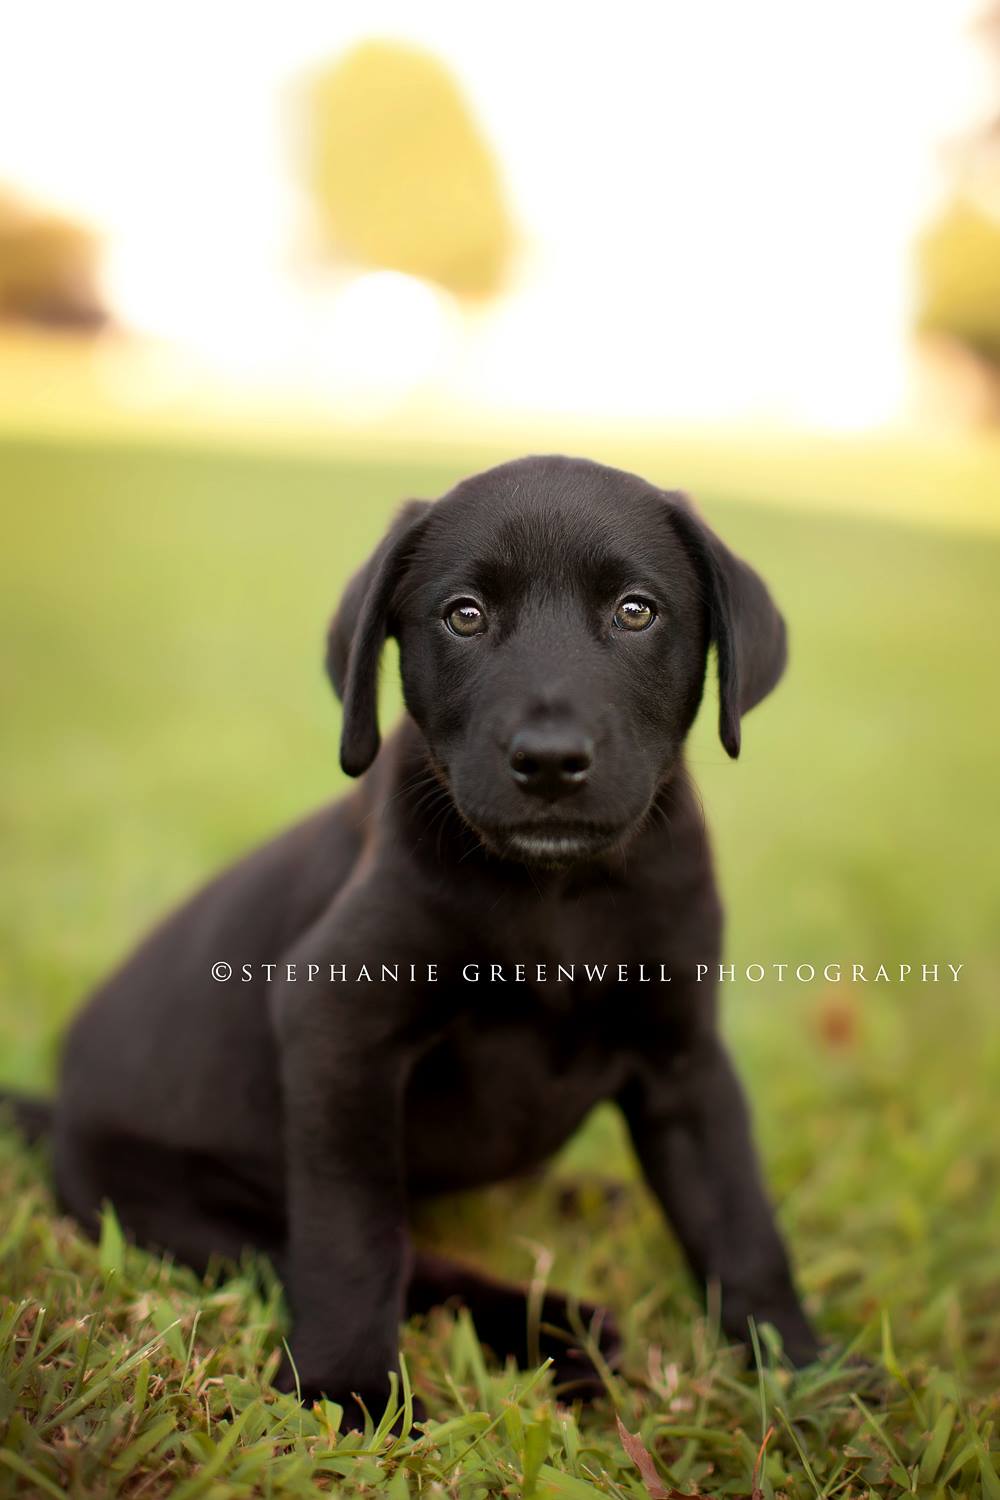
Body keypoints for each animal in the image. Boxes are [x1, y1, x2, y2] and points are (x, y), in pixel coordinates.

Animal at [33, 462, 821, 1422]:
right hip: (185, 1205)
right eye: (464, 615)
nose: (549, 761)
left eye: (636, 611)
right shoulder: (339, 1028)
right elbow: (358, 1238)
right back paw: (558, 1332)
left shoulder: (684, 1058)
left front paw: (813, 1376)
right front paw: (341, 1389)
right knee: (403, 1261)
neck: (557, 893)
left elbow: (740, 1221)